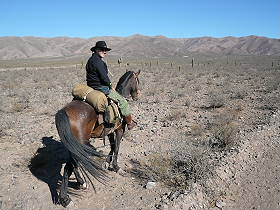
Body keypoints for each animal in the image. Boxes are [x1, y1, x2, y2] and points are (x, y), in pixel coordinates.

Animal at [55, 69, 141, 206]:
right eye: (137, 80)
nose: (137, 95)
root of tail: (63, 112)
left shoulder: (110, 131)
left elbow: (112, 147)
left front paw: (106, 163)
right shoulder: (120, 130)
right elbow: (117, 147)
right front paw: (116, 167)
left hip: (73, 144)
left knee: (73, 163)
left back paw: (81, 183)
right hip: (80, 143)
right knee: (69, 165)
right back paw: (66, 198)